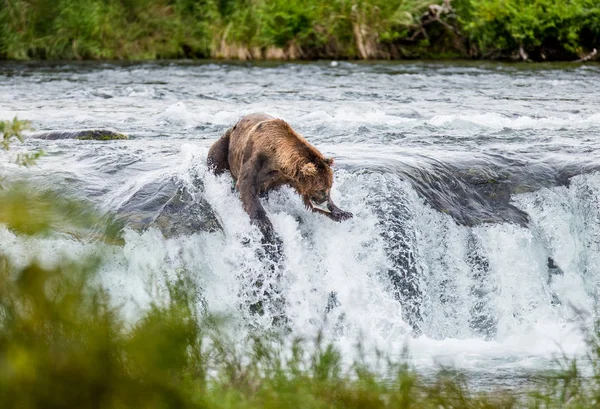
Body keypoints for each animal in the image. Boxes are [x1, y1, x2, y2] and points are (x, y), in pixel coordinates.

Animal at [209, 113, 354, 241]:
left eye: (330, 186)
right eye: (321, 189)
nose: (324, 199)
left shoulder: (288, 178)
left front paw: (343, 213)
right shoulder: (255, 159)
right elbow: (246, 187)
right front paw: (265, 224)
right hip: (227, 144)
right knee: (216, 156)